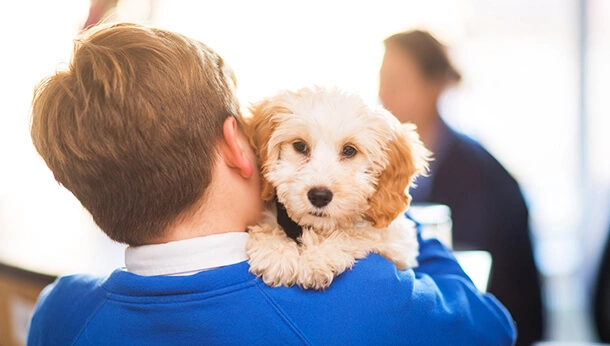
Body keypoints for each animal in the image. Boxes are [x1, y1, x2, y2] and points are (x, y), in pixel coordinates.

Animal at [242, 86, 428, 290]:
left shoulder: (399, 246)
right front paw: (276, 253)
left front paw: (318, 258)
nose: (319, 196)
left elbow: (358, 233)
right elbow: (269, 227)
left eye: (349, 150)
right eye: (300, 146)